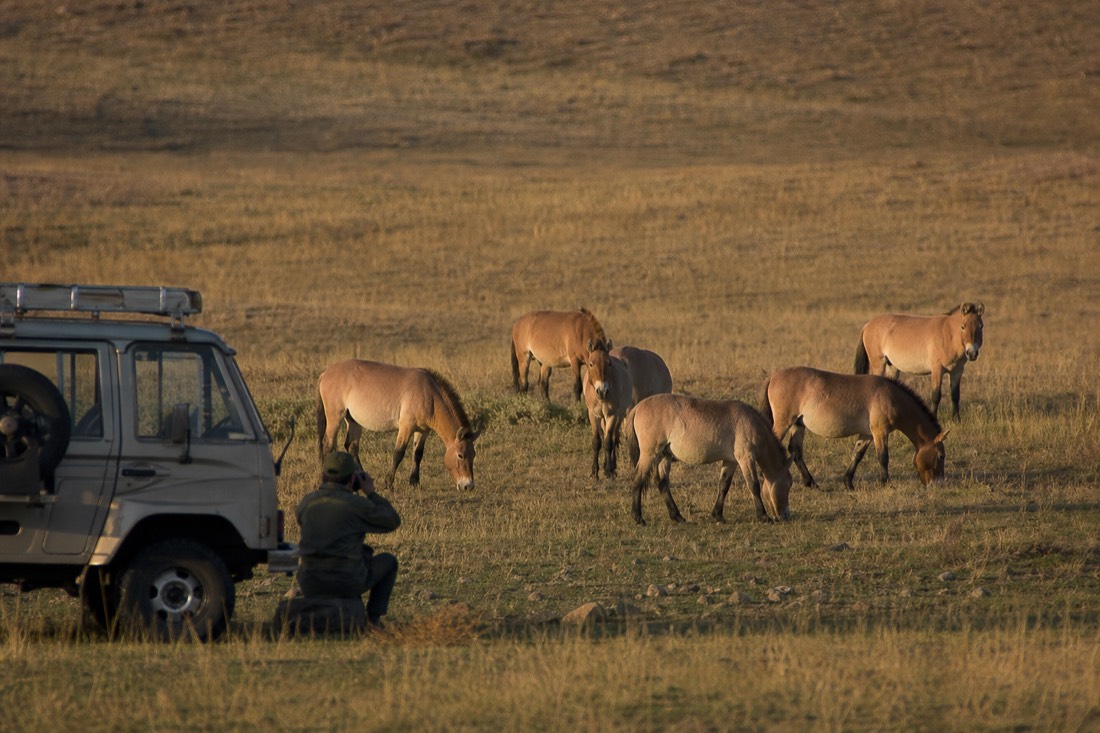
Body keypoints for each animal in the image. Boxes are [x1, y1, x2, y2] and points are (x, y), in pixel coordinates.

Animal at [317, 359, 479, 491]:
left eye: (474, 454)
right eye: (460, 455)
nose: (468, 486)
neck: (428, 395)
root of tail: (325, 373)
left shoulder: (423, 431)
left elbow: (418, 454)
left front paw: (414, 482)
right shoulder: (406, 427)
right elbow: (398, 454)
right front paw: (389, 483)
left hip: (353, 421)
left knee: (352, 447)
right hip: (335, 418)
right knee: (328, 445)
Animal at [582, 340, 634, 479]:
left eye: (609, 363)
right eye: (591, 364)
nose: (602, 391)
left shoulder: (612, 415)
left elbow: (609, 442)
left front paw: (609, 471)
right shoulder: (593, 415)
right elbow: (597, 442)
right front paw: (594, 472)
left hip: (619, 415)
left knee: (614, 438)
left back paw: (611, 467)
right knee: (605, 435)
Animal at [625, 393, 793, 526]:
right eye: (789, 484)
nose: (786, 515)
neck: (751, 422)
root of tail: (638, 407)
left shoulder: (731, 462)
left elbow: (723, 485)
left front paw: (718, 515)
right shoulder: (746, 458)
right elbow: (754, 485)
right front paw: (763, 516)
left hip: (663, 456)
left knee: (662, 483)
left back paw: (678, 517)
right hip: (649, 454)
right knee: (637, 479)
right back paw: (638, 518)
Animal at [760, 366, 948, 490]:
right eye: (941, 456)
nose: (938, 484)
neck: (891, 396)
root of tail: (773, 377)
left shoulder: (867, 434)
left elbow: (857, 455)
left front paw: (848, 483)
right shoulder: (880, 432)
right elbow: (883, 457)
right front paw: (886, 483)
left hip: (797, 424)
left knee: (796, 450)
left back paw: (811, 483)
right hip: (784, 423)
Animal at [855, 302, 985, 420]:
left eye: (980, 326)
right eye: (963, 326)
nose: (972, 353)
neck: (948, 334)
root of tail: (867, 325)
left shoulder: (957, 371)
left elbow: (955, 395)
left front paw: (957, 420)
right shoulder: (937, 370)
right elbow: (936, 396)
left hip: (892, 367)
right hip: (878, 364)